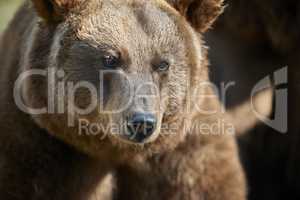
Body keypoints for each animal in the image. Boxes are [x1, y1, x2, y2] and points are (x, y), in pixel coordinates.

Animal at [0, 0, 246, 200]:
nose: (141, 122)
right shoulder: (34, 144)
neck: (113, 149)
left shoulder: (185, 151)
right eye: (110, 59)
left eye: (162, 63)